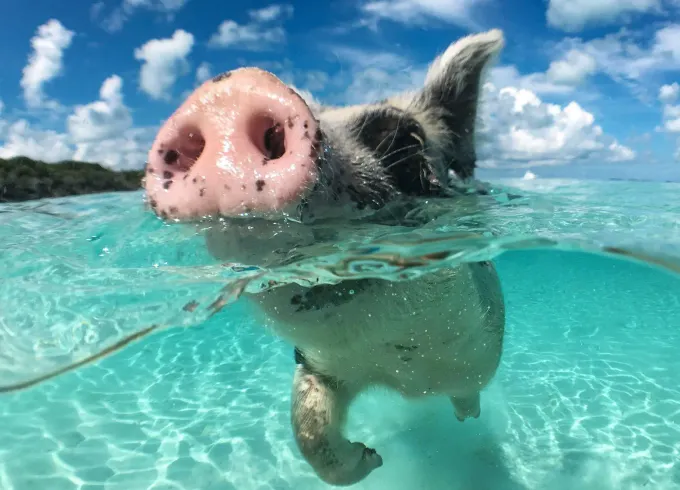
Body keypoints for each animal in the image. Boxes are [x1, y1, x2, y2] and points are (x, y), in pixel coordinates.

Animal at [143, 29, 507, 486]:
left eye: (405, 140)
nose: (228, 92)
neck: (401, 371)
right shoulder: (318, 365)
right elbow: (309, 429)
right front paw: (373, 458)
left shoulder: (478, 352)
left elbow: (467, 390)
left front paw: (447, 426)